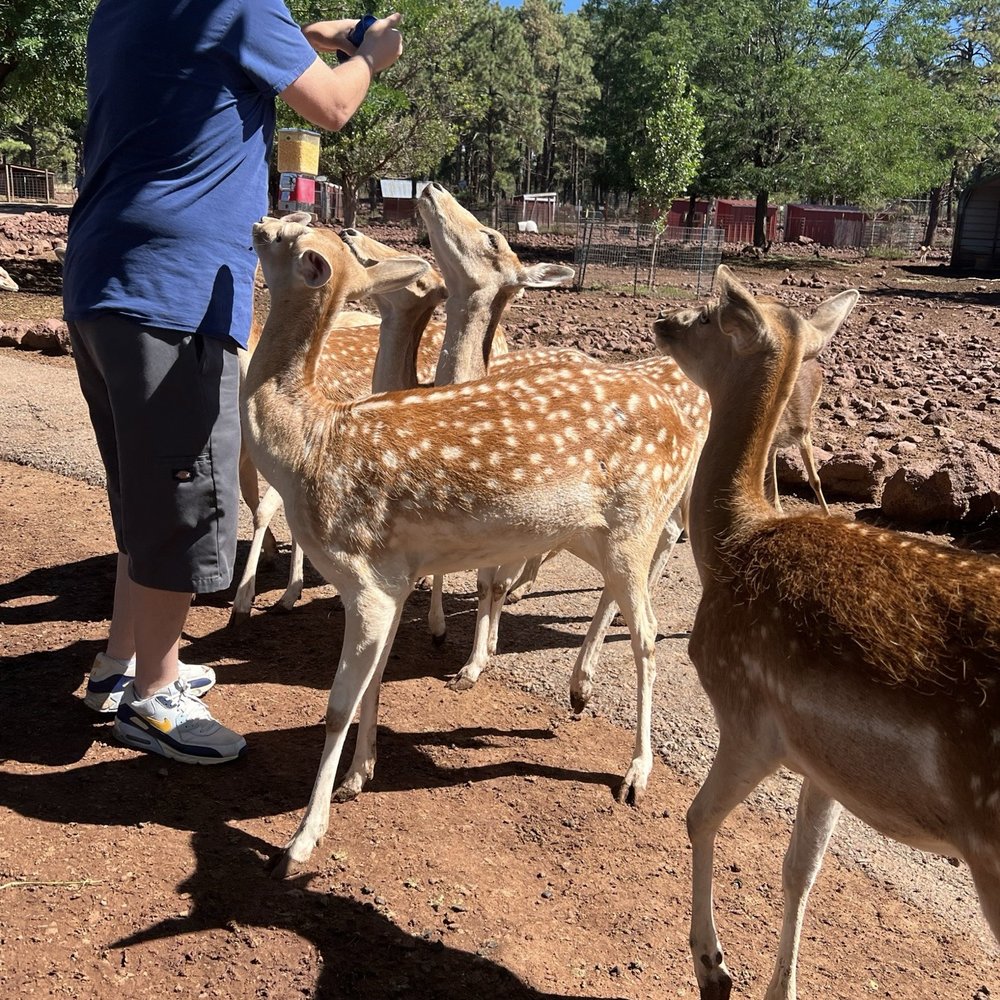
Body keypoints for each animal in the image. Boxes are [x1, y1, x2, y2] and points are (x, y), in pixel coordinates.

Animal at [241, 214, 703, 877]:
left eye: (289, 237)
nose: (259, 221)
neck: (307, 447)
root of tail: (687, 418)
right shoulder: (394, 577)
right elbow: (375, 680)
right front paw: (360, 775)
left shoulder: (366, 574)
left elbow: (335, 706)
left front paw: (301, 839)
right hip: (594, 535)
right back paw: (575, 693)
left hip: (634, 523)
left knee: (648, 632)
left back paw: (635, 772)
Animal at [652, 264, 1000, 1000]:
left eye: (711, 317)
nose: (663, 320)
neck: (732, 543)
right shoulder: (824, 762)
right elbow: (801, 867)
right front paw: (777, 986)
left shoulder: (747, 711)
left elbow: (698, 816)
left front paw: (713, 965)